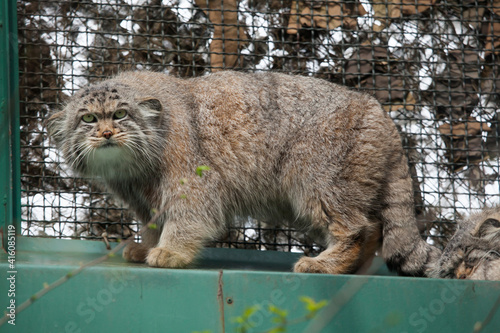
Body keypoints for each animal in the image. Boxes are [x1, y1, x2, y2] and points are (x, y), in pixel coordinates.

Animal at [46, 70, 438, 274]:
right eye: (88, 118)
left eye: (121, 114)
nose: (106, 134)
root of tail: (383, 116)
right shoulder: (145, 197)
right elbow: (154, 222)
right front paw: (148, 246)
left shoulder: (193, 183)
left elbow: (188, 217)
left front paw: (171, 251)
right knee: (373, 229)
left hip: (317, 178)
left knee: (357, 227)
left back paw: (326, 264)